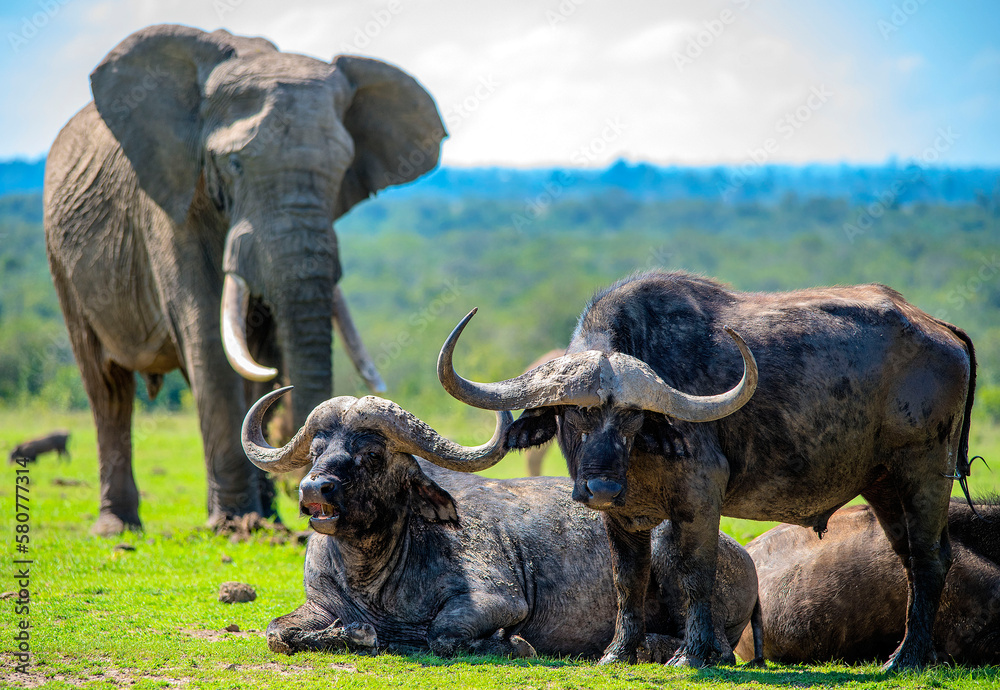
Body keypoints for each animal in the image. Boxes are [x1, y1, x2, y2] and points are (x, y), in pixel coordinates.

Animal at [43, 24, 446, 536]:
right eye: (234, 166)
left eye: (341, 172)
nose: (316, 497)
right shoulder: (170, 201)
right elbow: (208, 340)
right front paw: (234, 525)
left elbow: (263, 356)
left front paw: (264, 523)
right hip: (63, 259)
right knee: (106, 386)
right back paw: (117, 528)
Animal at [241, 387, 763, 661]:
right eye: (316, 449)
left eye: (371, 454)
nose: (314, 489)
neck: (374, 575)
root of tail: (744, 554)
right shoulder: (319, 604)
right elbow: (278, 631)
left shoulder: (499, 599)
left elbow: (440, 634)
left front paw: (510, 642)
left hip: (674, 550)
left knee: (716, 645)